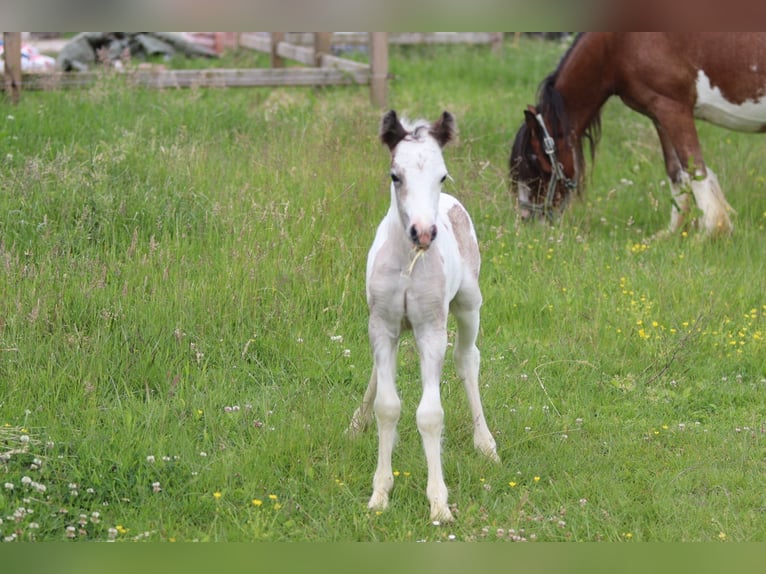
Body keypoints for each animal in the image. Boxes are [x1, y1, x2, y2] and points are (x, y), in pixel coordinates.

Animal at [348, 110, 499, 522]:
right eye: (394, 175)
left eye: (442, 174)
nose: (423, 232)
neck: (407, 262)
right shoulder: (382, 324)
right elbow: (388, 406)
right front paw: (379, 495)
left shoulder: (431, 329)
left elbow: (430, 414)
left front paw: (439, 504)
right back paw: (356, 422)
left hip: (468, 305)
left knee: (467, 359)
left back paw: (486, 443)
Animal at [510, 32, 766, 237]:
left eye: (534, 160)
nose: (527, 219)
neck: (618, 45)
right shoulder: (659, 113)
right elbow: (676, 172)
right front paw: (671, 234)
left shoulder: (673, 108)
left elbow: (694, 169)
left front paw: (710, 233)